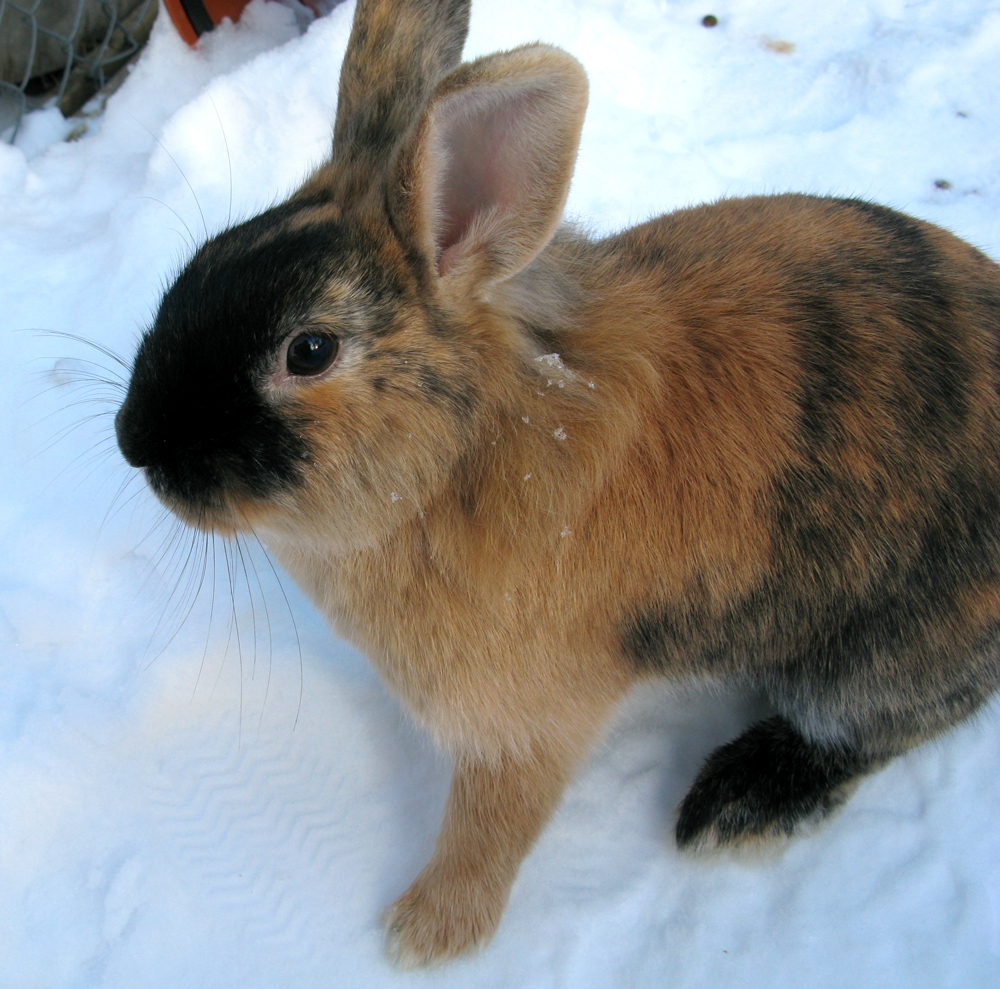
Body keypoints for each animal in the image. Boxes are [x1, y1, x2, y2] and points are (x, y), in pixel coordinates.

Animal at [114, 0, 1000, 968]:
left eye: (308, 350)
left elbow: (489, 826)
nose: (134, 441)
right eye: (202, 260)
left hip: (885, 651)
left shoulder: (524, 726)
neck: (455, 463)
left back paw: (732, 807)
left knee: (871, 727)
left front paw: (424, 936)